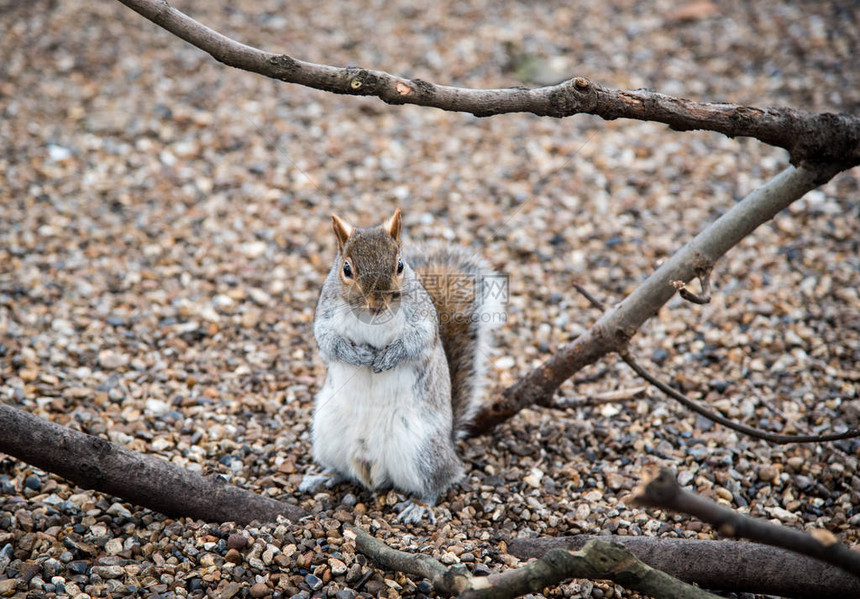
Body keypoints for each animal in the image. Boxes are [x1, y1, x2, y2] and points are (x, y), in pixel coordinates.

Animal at [302, 209, 504, 524]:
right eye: (346, 269)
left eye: (400, 265)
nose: (377, 303)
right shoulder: (325, 317)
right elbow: (328, 342)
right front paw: (357, 355)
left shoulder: (423, 320)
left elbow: (417, 341)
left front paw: (389, 357)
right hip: (327, 435)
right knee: (342, 469)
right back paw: (322, 476)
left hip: (423, 450)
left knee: (441, 479)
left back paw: (419, 504)